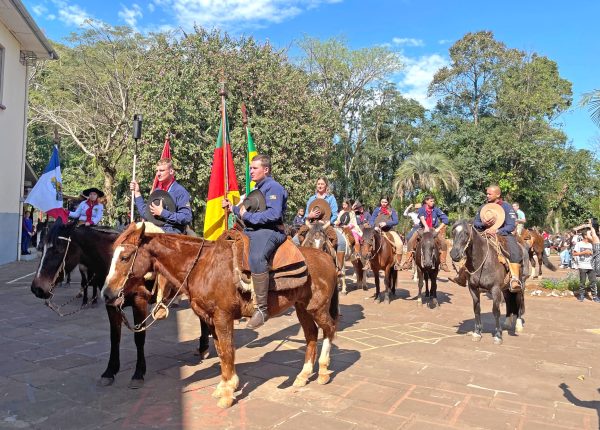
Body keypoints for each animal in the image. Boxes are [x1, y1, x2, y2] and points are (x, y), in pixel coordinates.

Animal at [29, 220, 211, 388]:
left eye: (58, 249)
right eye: (42, 247)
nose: (37, 288)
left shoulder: (140, 302)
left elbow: (139, 337)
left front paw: (138, 373)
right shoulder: (111, 304)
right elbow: (114, 337)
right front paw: (110, 371)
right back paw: (203, 348)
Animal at [101, 223, 340, 408]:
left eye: (125, 257)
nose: (107, 294)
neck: (202, 266)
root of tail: (327, 258)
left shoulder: (222, 318)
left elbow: (226, 353)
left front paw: (227, 394)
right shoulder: (210, 319)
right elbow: (220, 351)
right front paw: (225, 386)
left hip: (317, 307)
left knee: (329, 329)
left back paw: (323, 371)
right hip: (302, 308)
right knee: (311, 335)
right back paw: (303, 375)